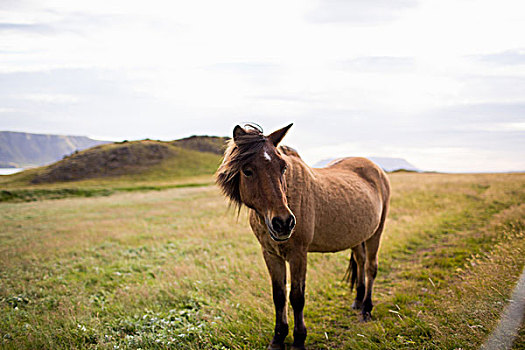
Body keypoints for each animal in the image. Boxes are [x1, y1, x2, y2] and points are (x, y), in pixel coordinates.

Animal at [213, 123, 388, 350]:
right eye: (247, 170)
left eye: (283, 167)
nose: (283, 223)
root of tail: (376, 169)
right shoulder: (271, 254)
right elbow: (279, 296)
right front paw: (278, 338)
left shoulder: (298, 254)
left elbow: (296, 297)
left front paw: (298, 340)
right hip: (358, 236)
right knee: (360, 261)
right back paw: (358, 302)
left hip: (376, 232)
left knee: (370, 267)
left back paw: (366, 309)